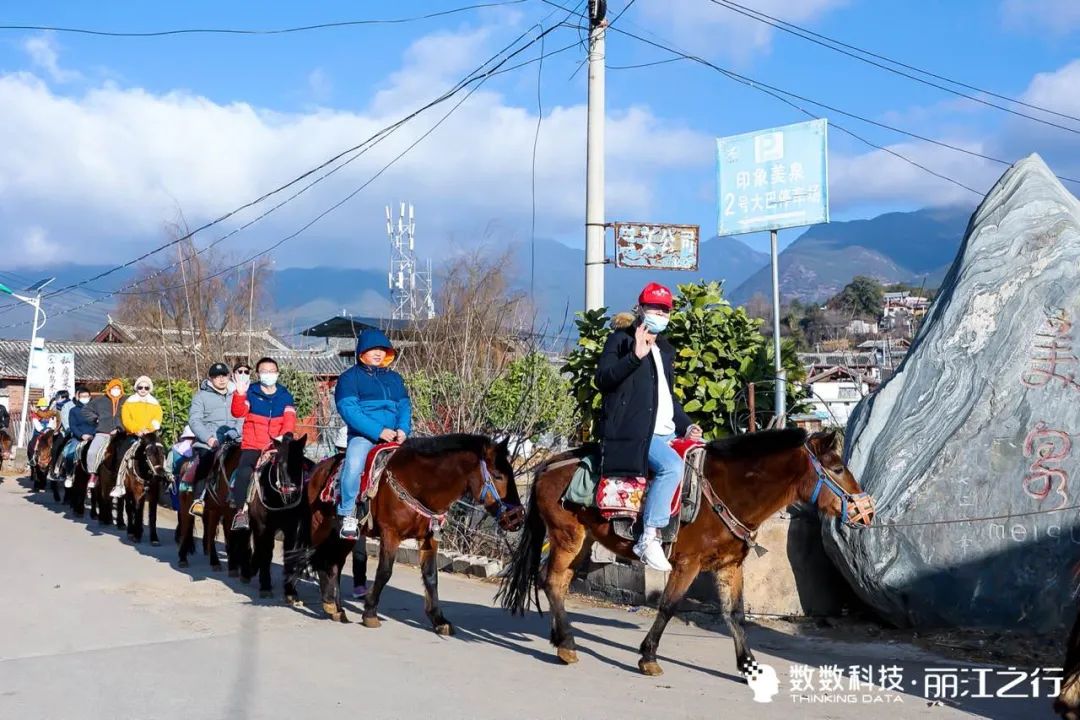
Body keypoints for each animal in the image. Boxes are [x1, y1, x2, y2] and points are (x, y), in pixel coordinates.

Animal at [298, 433, 524, 630]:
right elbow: (385, 572)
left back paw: (334, 608)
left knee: (333, 563)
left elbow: (431, 576)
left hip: (347, 535)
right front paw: (370, 612)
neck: (418, 484)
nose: (517, 518)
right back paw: (307, 599)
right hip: (319, 526)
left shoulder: (429, 538)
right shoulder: (390, 534)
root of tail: (317, 469)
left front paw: (439, 619)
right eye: (498, 476)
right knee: (314, 555)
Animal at [496, 431, 876, 677]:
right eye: (838, 468)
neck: (728, 491)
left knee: (556, 582)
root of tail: (548, 465)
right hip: (567, 538)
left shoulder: (729, 566)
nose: (867, 512)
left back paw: (560, 639)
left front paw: (748, 665)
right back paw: (567, 644)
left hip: (583, 543)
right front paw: (648, 656)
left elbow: (735, 615)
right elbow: (668, 606)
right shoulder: (687, 564)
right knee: (552, 582)